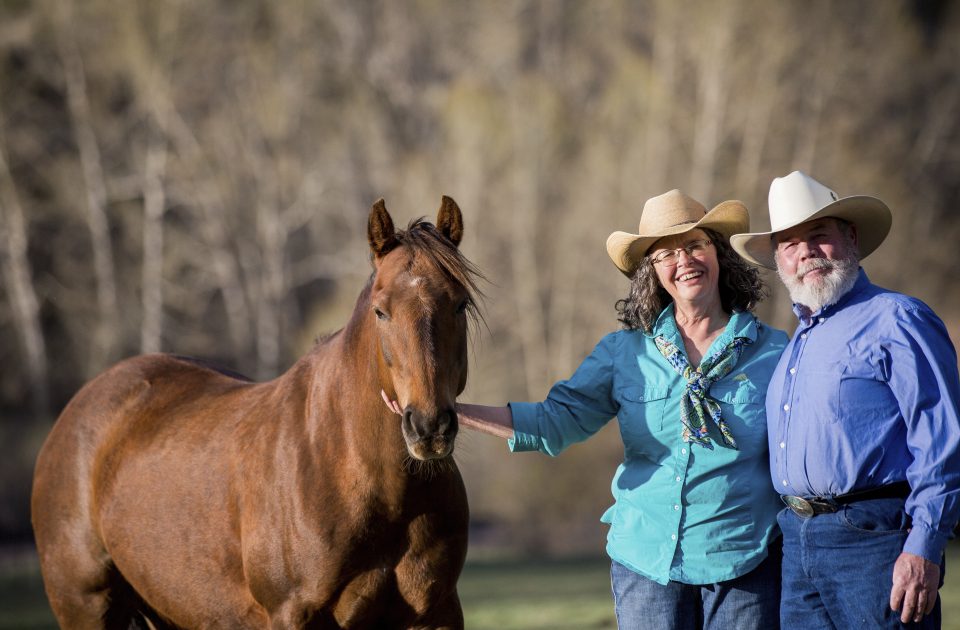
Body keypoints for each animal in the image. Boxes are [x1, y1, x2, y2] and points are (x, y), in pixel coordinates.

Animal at [31, 198, 480, 630]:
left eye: (460, 305)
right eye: (380, 311)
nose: (429, 426)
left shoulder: (436, 613)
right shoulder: (291, 615)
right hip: (85, 606)